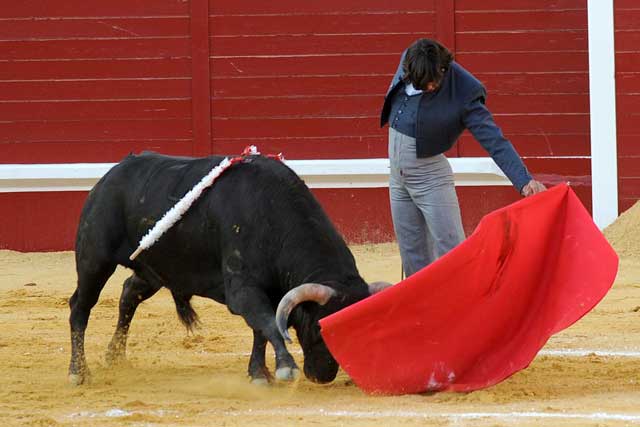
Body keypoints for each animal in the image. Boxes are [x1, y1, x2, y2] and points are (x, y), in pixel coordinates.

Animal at [70, 153, 390, 388]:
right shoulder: (243, 290)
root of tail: (110, 176)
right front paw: (285, 367)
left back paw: (115, 356)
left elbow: (261, 329)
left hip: (155, 269)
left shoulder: (271, 292)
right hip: (94, 259)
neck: (271, 215)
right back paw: (79, 372)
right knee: (80, 306)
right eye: (318, 327)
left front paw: (258, 373)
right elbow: (267, 323)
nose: (323, 375)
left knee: (129, 293)